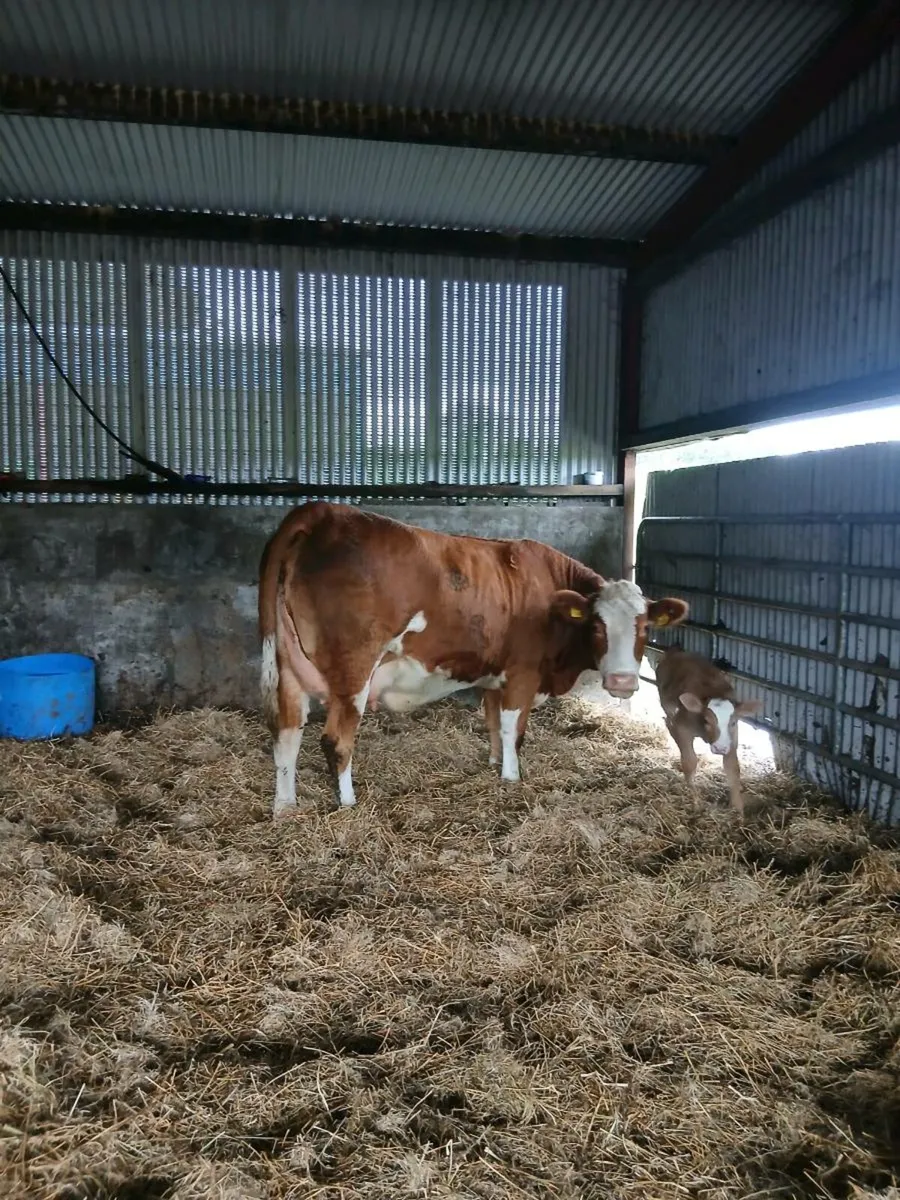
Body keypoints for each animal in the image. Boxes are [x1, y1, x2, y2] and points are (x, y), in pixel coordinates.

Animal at [258, 501, 689, 815]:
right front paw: (512, 779)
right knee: (335, 741)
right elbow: (515, 729)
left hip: (288, 667)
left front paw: (495, 766)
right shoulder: (522, 673)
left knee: (287, 733)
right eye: (598, 627)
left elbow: (494, 724)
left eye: (644, 629)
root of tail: (323, 510)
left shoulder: (495, 678)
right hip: (354, 673)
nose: (623, 682)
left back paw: (285, 805)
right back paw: (348, 804)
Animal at [654, 646, 763, 816]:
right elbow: (690, 763)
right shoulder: (682, 728)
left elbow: (733, 769)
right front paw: (696, 802)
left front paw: (739, 811)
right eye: (706, 720)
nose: (720, 748)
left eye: (733, 722)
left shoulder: (732, 739)